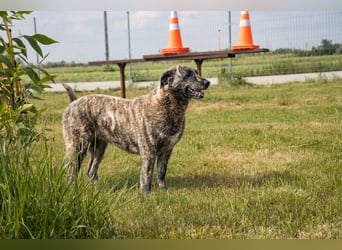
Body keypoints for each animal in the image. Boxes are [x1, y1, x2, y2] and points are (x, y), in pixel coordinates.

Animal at [62, 65, 210, 191]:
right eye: (187, 74)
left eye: (196, 72)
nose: (207, 82)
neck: (166, 105)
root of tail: (74, 102)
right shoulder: (149, 152)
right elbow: (146, 176)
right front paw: (146, 195)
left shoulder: (166, 151)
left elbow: (161, 173)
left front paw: (164, 190)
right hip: (78, 147)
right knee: (71, 171)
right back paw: (72, 190)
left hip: (98, 148)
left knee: (91, 171)